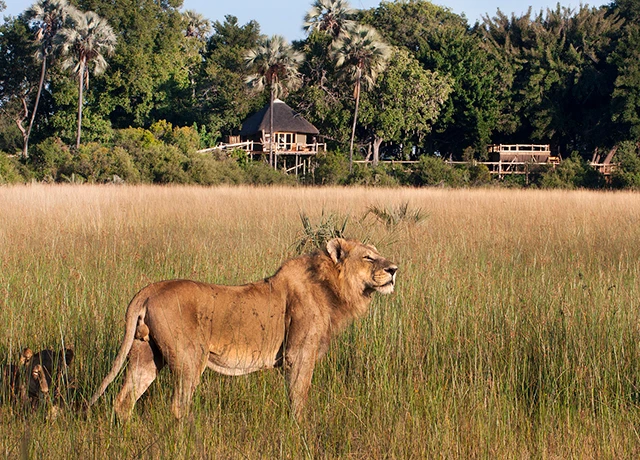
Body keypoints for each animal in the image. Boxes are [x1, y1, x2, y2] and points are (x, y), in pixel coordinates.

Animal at [89, 238, 398, 421]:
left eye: (379, 255)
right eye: (369, 258)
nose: (395, 269)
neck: (332, 287)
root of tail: (151, 288)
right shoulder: (298, 354)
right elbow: (299, 397)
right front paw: (299, 429)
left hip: (146, 353)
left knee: (124, 400)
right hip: (189, 358)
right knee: (179, 405)